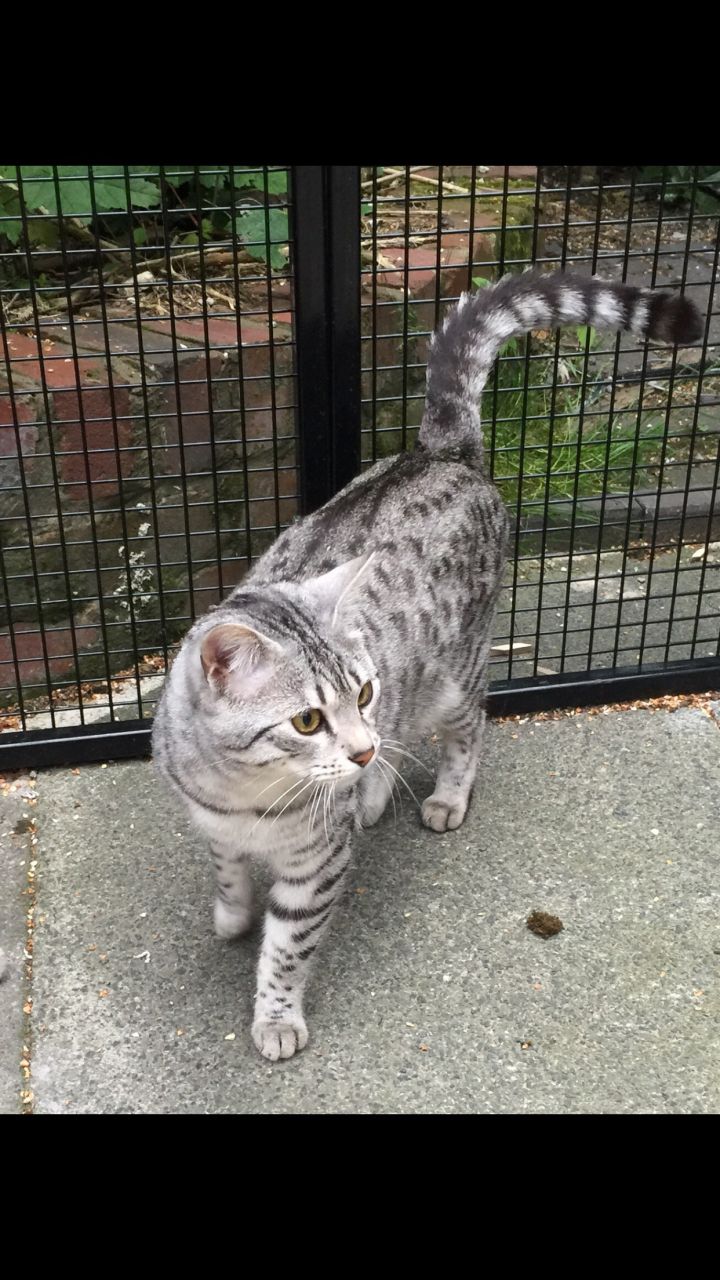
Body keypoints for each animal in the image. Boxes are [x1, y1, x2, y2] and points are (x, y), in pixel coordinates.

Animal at [151, 270, 696, 1059]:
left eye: (361, 693)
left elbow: (287, 948)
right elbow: (227, 875)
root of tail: (442, 450)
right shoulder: (215, 828)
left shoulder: (316, 865)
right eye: (308, 719)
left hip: (452, 676)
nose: (357, 744)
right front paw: (230, 913)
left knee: (469, 728)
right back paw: (376, 790)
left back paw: (439, 793)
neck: (247, 795)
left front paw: (276, 1015)